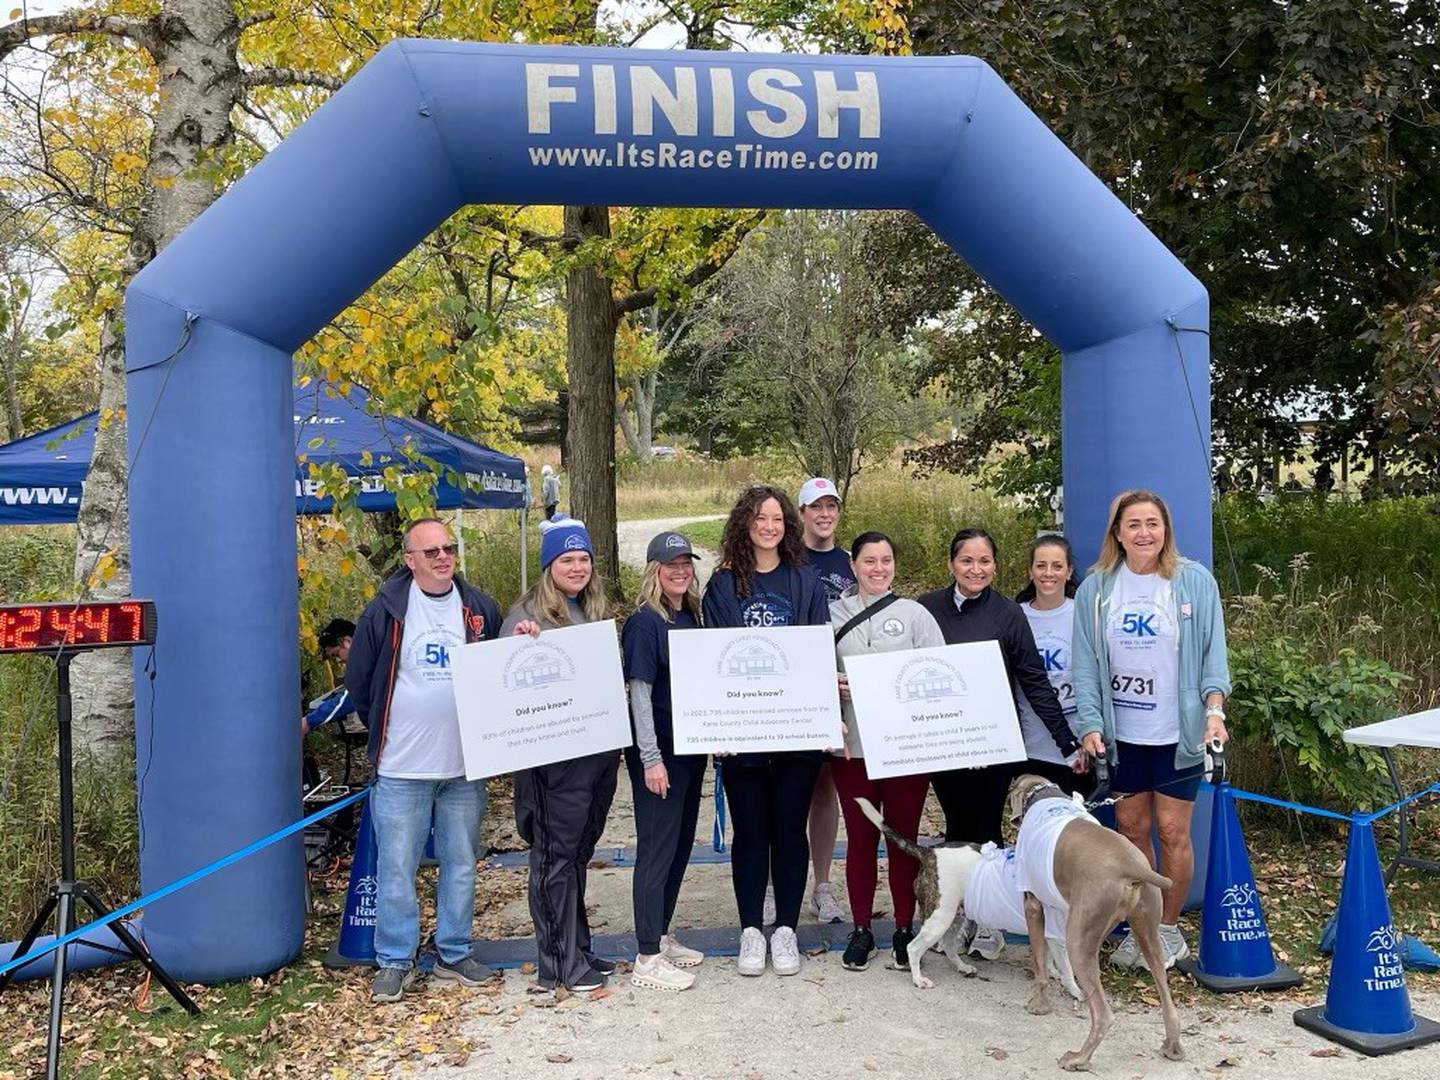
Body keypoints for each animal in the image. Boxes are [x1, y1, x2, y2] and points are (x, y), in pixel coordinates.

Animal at [1008, 777, 1186, 1077]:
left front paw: (1039, 1005)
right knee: (1168, 1000)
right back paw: (1173, 1048)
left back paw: (1078, 1059)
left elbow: (1040, 964)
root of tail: (1132, 865)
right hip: (1147, 932)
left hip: (1080, 939)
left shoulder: (1033, 904)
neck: (1043, 792)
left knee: (1103, 1015)